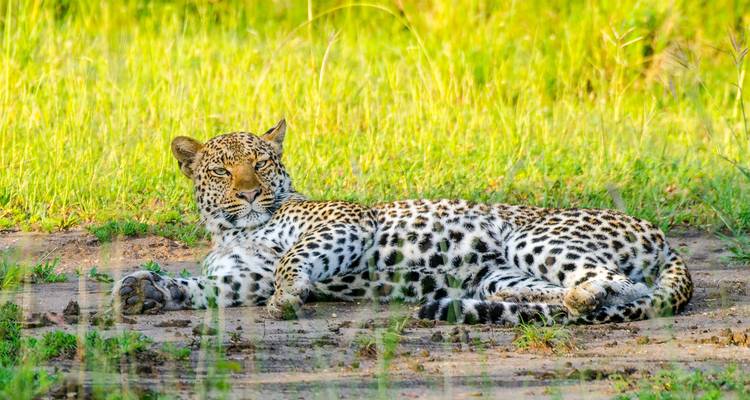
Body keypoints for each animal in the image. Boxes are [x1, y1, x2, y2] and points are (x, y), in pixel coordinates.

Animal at [111, 119, 693, 325]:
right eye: (222, 170)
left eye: (261, 162)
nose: (250, 192)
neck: (235, 228)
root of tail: (663, 236)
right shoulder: (238, 280)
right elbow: (199, 285)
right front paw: (145, 290)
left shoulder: (345, 219)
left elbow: (291, 261)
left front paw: (289, 296)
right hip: (503, 269)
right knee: (581, 291)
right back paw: (489, 303)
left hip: (534, 236)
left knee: (617, 284)